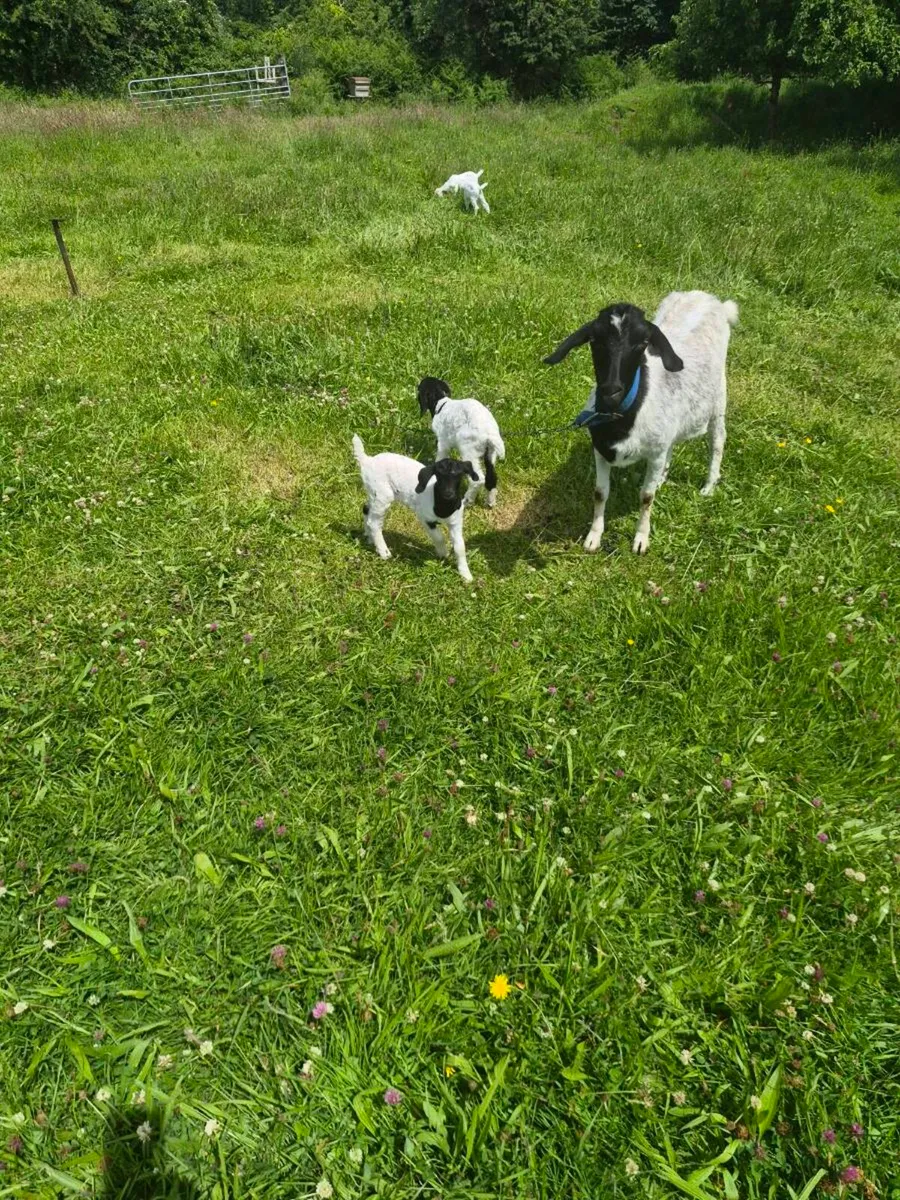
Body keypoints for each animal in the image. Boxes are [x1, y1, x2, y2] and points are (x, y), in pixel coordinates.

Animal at [352, 435, 478, 582]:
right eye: (438, 475)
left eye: (459, 476)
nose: (448, 493)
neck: (442, 506)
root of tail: (367, 460)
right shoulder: (425, 518)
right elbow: (439, 537)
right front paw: (443, 553)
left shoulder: (456, 522)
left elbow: (460, 547)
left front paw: (466, 575)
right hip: (383, 495)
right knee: (374, 523)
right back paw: (384, 552)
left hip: (373, 493)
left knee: (366, 510)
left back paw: (370, 538)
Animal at [417, 377, 505, 508]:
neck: (441, 403)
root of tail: (490, 433)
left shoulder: (443, 443)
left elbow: (440, 459)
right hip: (490, 453)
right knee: (491, 477)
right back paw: (490, 502)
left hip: (468, 449)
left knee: (478, 479)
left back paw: (467, 501)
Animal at [544, 291, 738, 554]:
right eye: (594, 340)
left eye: (642, 343)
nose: (611, 390)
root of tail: (709, 299)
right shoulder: (600, 450)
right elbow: (600, 492)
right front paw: (594, 537)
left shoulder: (652, 454)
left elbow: (646, 497)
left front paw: (641, 540)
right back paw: (663, 477)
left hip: (718, 397)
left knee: (717, 441)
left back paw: (709, 485)